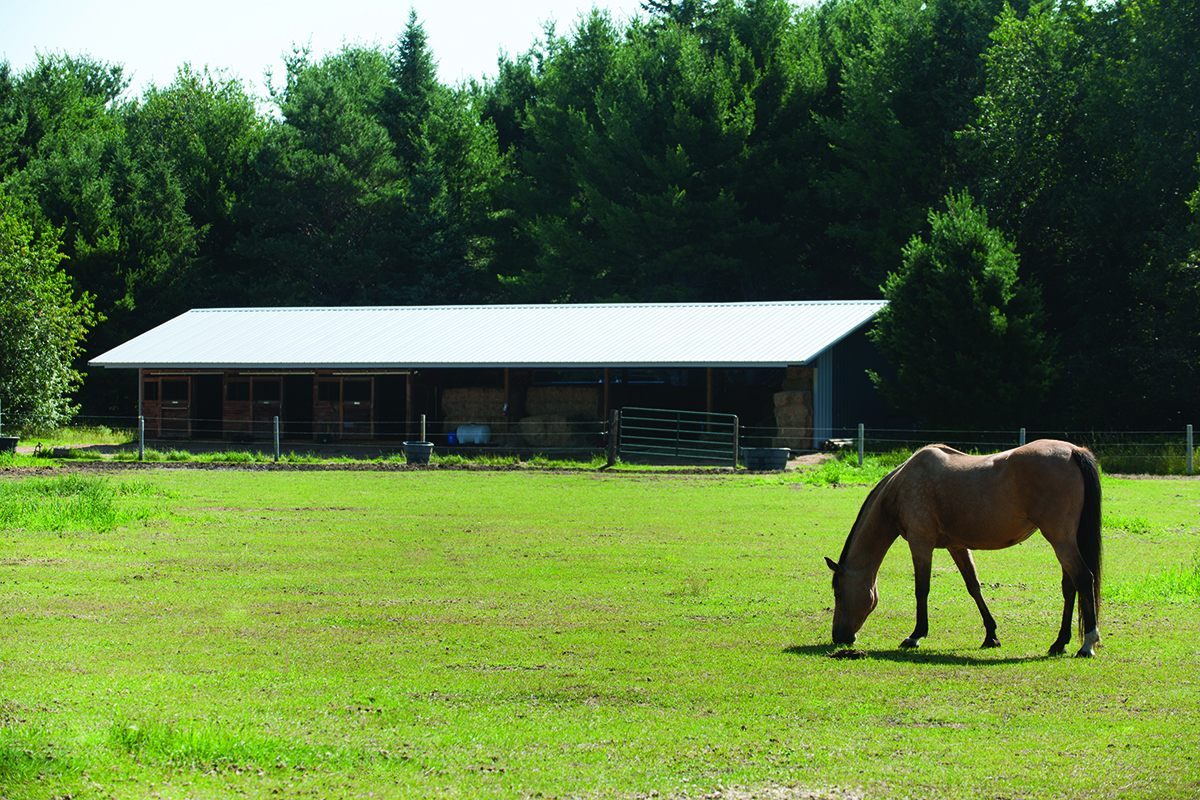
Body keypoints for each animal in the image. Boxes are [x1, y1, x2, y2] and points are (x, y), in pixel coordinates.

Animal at [824, 439, 1102, 657]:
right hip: (1065, 541)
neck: (901, 484)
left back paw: (1087, 644)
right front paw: (991, 635)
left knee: (1083, 579)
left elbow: (922, 589)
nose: (839, 637)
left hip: (1060, 539)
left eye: (838, 591)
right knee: (1070, 587)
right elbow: (974, 587)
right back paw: (1060, 643)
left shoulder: (920, 541)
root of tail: (1073, 450)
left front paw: (915, 636)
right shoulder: (957, 546)